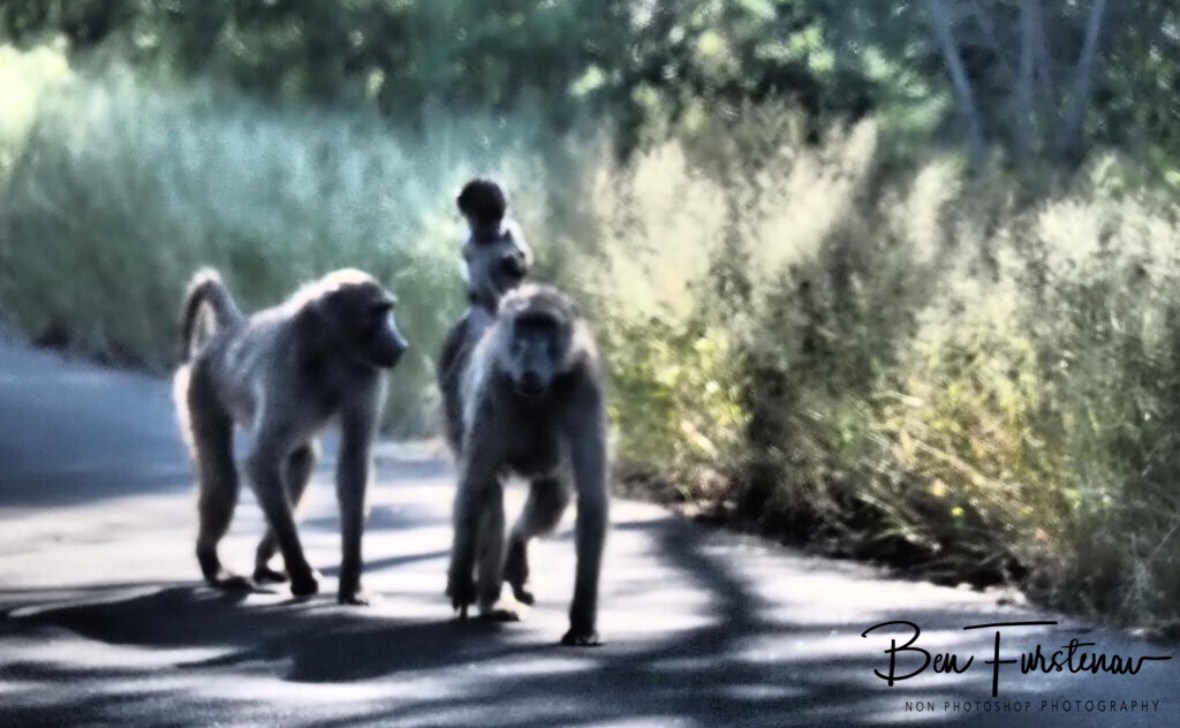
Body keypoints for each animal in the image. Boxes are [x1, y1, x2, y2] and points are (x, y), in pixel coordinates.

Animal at [172, 267, 408, 605]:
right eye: (378, 312)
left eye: (388, 310)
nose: (401, 346)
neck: (330, 347)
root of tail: (231, 332)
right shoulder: (287, 366)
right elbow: (260, 461)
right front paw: (301, 574)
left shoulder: (367, 373)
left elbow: (353, 465)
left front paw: (351, 583)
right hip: (201, 388)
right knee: (224, 477)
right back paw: (213, 566)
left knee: (302, 459)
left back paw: (262, 560)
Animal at [446, 284, 609, 647]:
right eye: (525, 327)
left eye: (546, 328)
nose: (531, 362)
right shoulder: (493, 386)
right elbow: (475, 482)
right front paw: (461, 576)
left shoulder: (585, 385)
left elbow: (591, 497)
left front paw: (582, 620)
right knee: (490, 495)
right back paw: (493, 599)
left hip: (548, 471)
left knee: (555, 494)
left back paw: (517, 553)